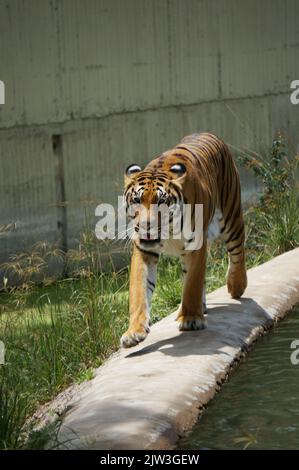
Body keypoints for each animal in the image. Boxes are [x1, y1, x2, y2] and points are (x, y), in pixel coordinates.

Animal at [120, 132, 247, 348]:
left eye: (161, 201)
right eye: (137, 200)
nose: (146, 225)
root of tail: (207, 133)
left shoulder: (197, 245)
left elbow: (192, 284)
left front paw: (190, 319)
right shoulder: (144, 250)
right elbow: (139, 292)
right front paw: (134, 332)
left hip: (230, 216)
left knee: (238, 251)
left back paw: (236, 286)